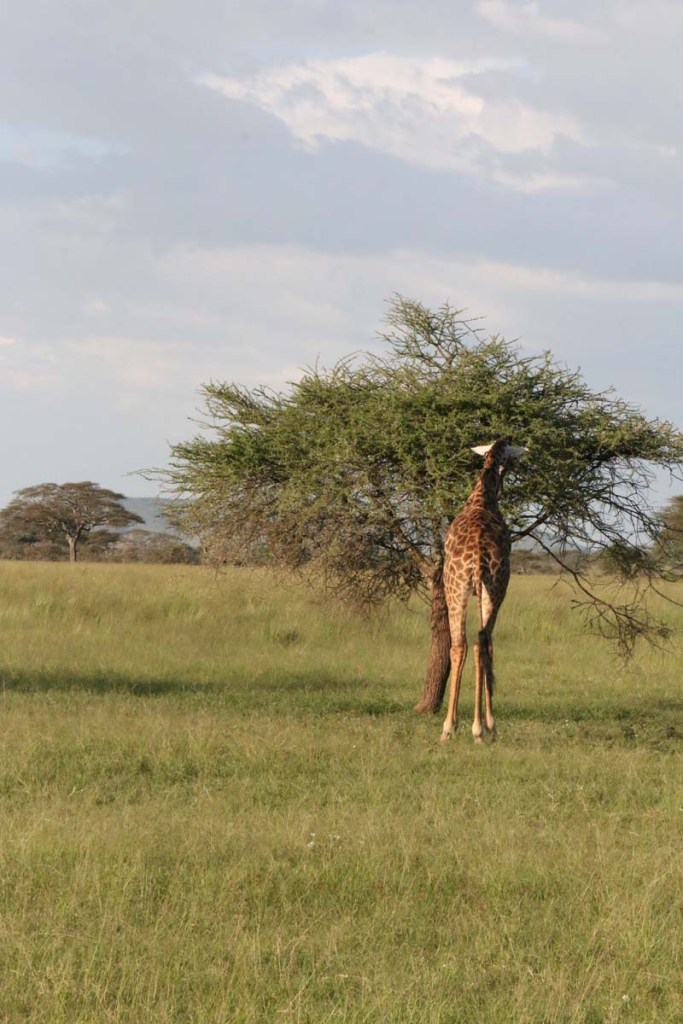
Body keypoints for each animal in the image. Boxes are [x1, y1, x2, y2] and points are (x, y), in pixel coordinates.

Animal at [441, 438, 528, 743]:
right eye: (509, 464)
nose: (504, 483)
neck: (482, 496)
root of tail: (478, 551)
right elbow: (489, 644)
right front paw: (490, 723)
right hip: (496, 586)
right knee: (482, 641)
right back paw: (481, 727)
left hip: (455, 588)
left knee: (460, 644)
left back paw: (449, 727)